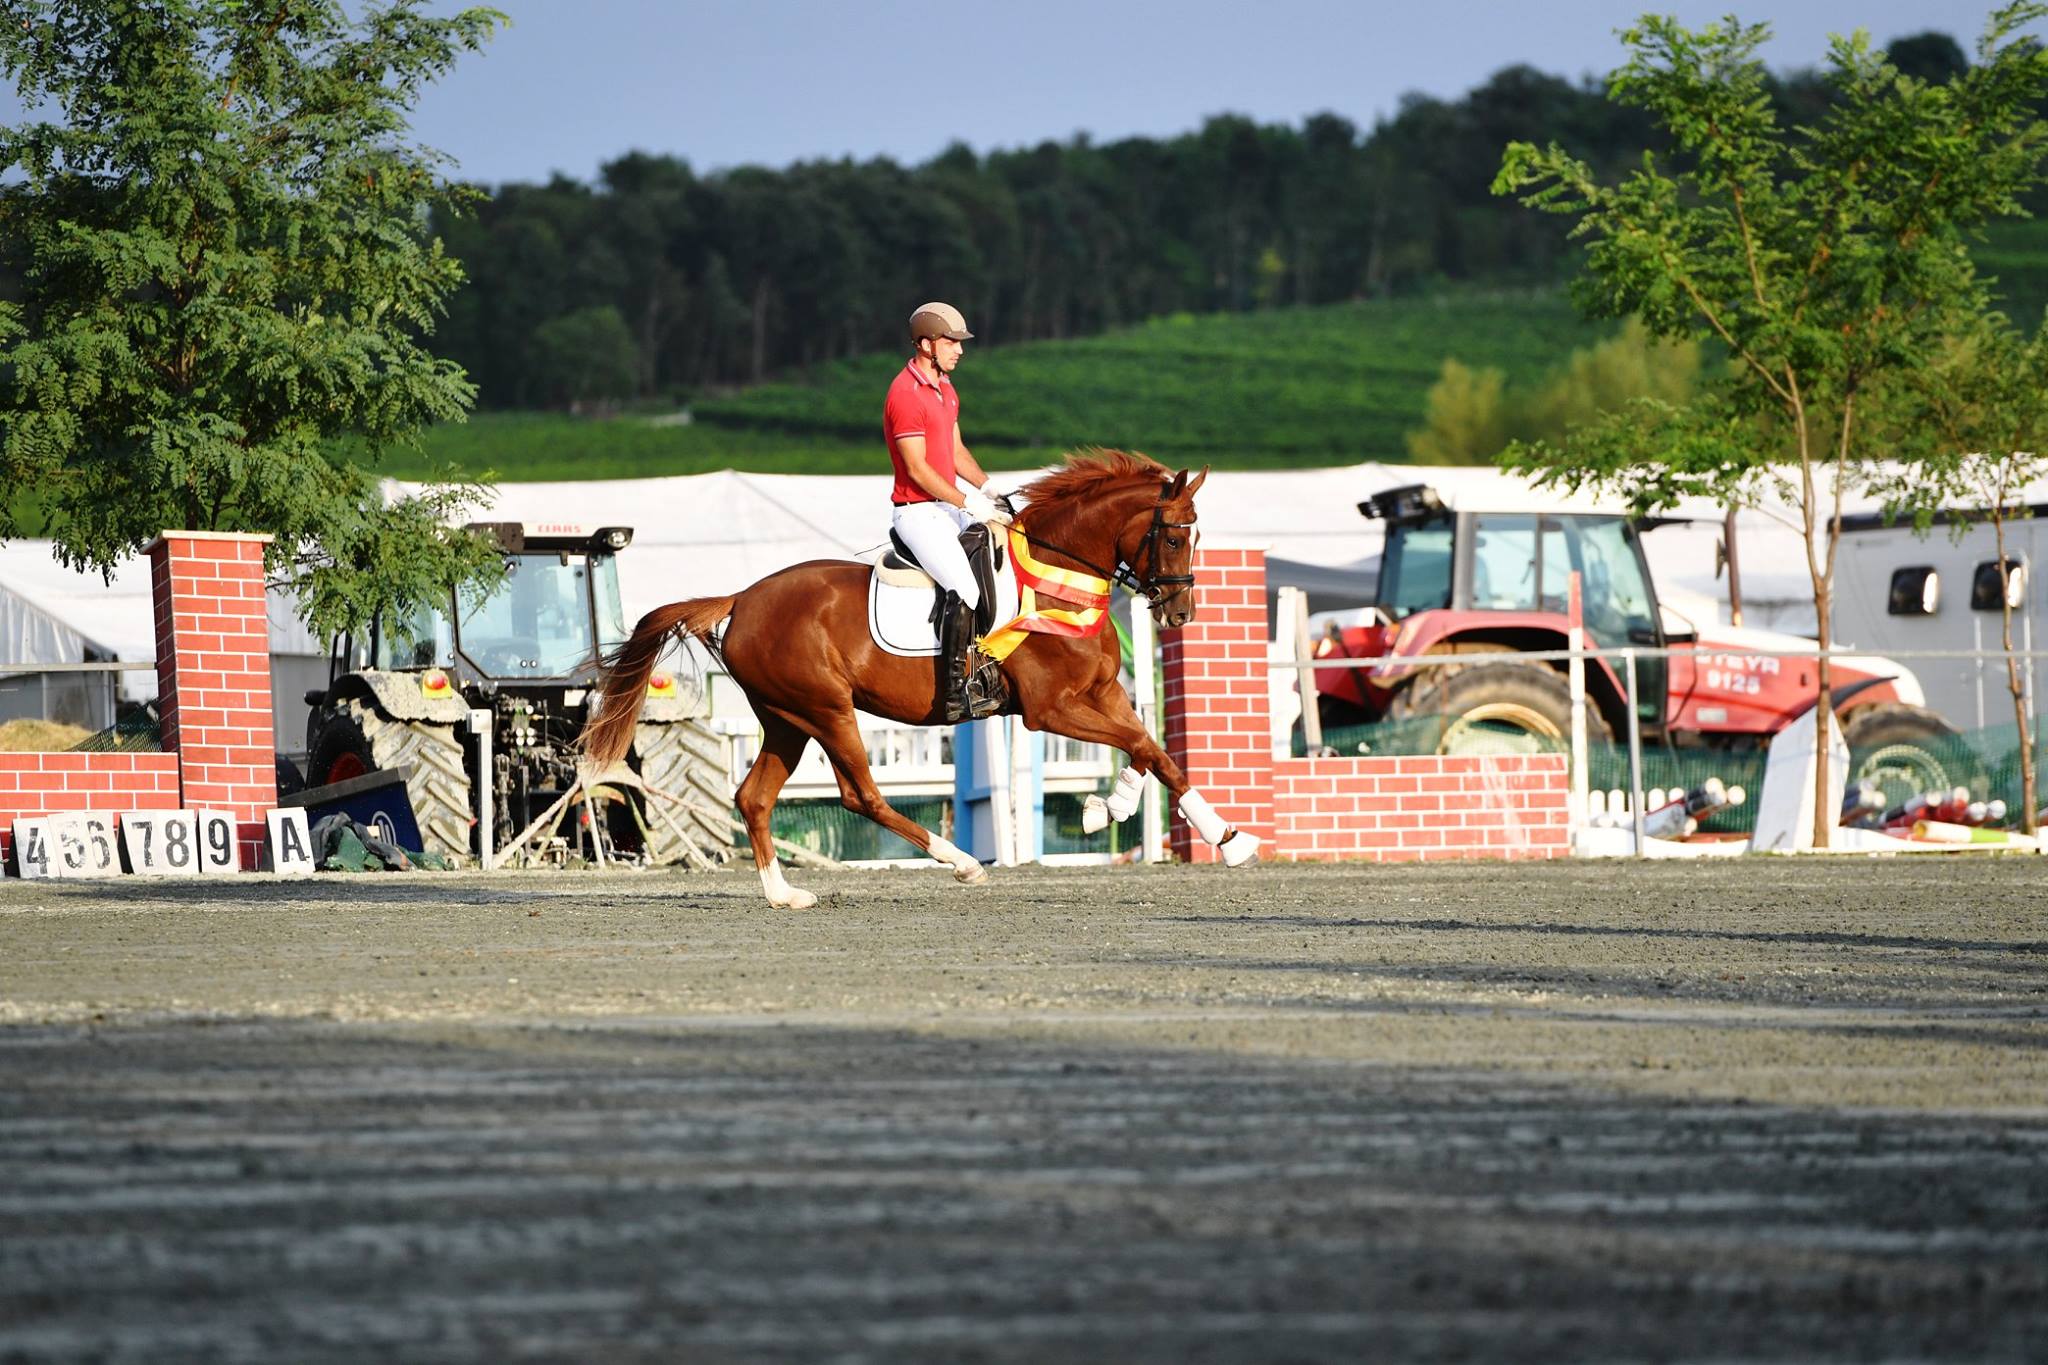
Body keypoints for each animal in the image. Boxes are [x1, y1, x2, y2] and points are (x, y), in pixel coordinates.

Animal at [585, 448, 1253, 908]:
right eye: (1174, 537)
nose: (1180, 614)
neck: (1056, 576)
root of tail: (742, 599)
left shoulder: (1102, 694)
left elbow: (1152, 751)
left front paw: (1122, 810)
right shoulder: (1051, 709)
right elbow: (1141, 744)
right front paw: (1217, 836)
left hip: (786, 720)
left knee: (754, 797)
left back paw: (783, 895)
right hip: (827, 711)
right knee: (861, 795)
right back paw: (961, 861)